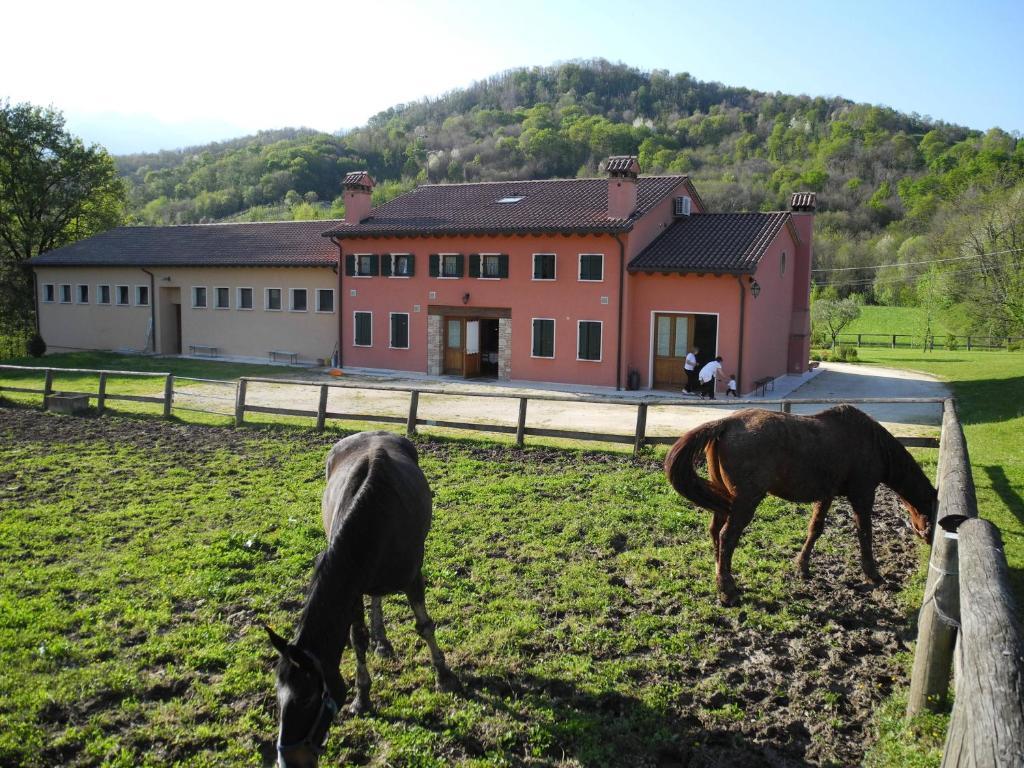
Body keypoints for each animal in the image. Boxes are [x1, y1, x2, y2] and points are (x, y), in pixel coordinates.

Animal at [264, 434, 460, 768]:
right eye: (277, 696)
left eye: (307, 698)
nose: (289, 762)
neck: (374, 512)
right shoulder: (352, 591)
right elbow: (357, 639)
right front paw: (362, 697)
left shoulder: (413, 577)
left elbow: (424, 625)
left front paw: (443, 675)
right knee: (375, 601)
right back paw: (381, 642)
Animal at [663, 409, 937, 606]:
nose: (932, 545)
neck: (871, 443)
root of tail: (725, 423)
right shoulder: (863, 495)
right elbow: (865, 533)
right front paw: (873, 574)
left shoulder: (826, 495)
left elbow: (815, 529)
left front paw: (802, 567)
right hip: (745, 501)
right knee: (727, 536)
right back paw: (728, 590)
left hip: (723, 497)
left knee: (714, 531)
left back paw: (720, 572)